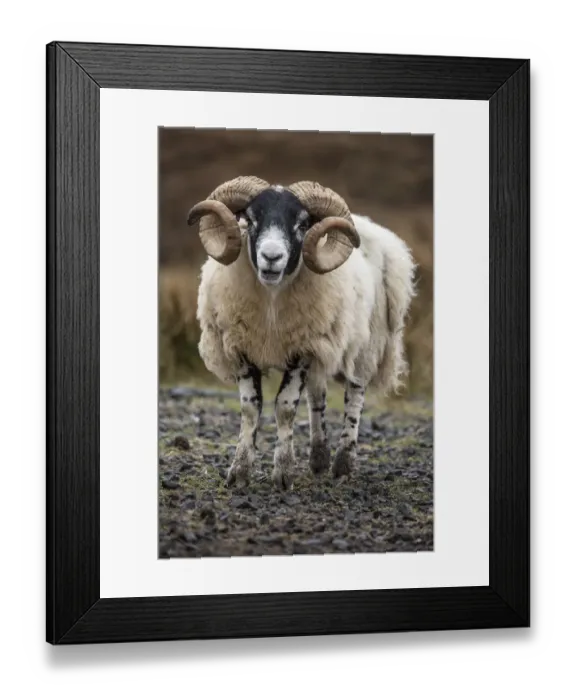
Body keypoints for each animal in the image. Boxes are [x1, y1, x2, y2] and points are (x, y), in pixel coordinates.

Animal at [187, 176, 416, 489]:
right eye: (250, 218)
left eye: (302, 224)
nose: (271, 257)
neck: (272, 302)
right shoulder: (242, 347)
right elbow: (250, 408)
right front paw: (239, 471)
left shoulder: (302, 351)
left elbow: (285, 406)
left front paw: (283, 473)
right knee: (317, 397)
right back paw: (318, 457)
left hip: (367, 345)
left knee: (354, 397)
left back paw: (343, 463)